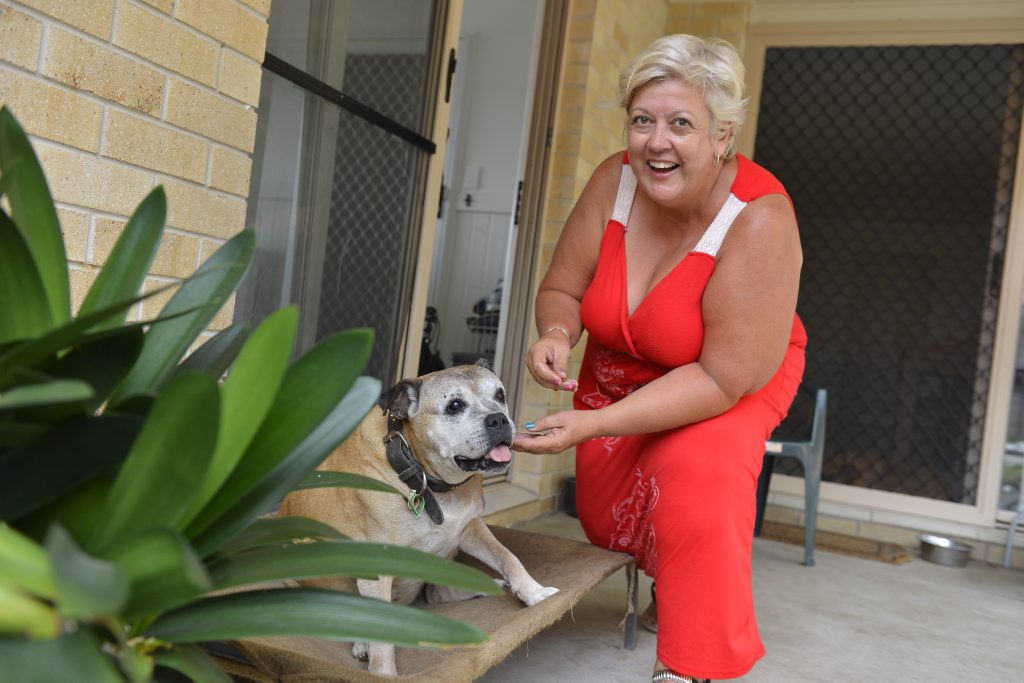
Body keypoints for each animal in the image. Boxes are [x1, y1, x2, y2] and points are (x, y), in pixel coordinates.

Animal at [276, 362, 557, 679]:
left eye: (500, 395)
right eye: (454, 406)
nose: (499, 419)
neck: (426, 478)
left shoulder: (470, 528)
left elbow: (508, 556)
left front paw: (534, 592)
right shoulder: (377, 569)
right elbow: (382, 638)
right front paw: (384, 673)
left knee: (436, 593)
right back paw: (362, 644)